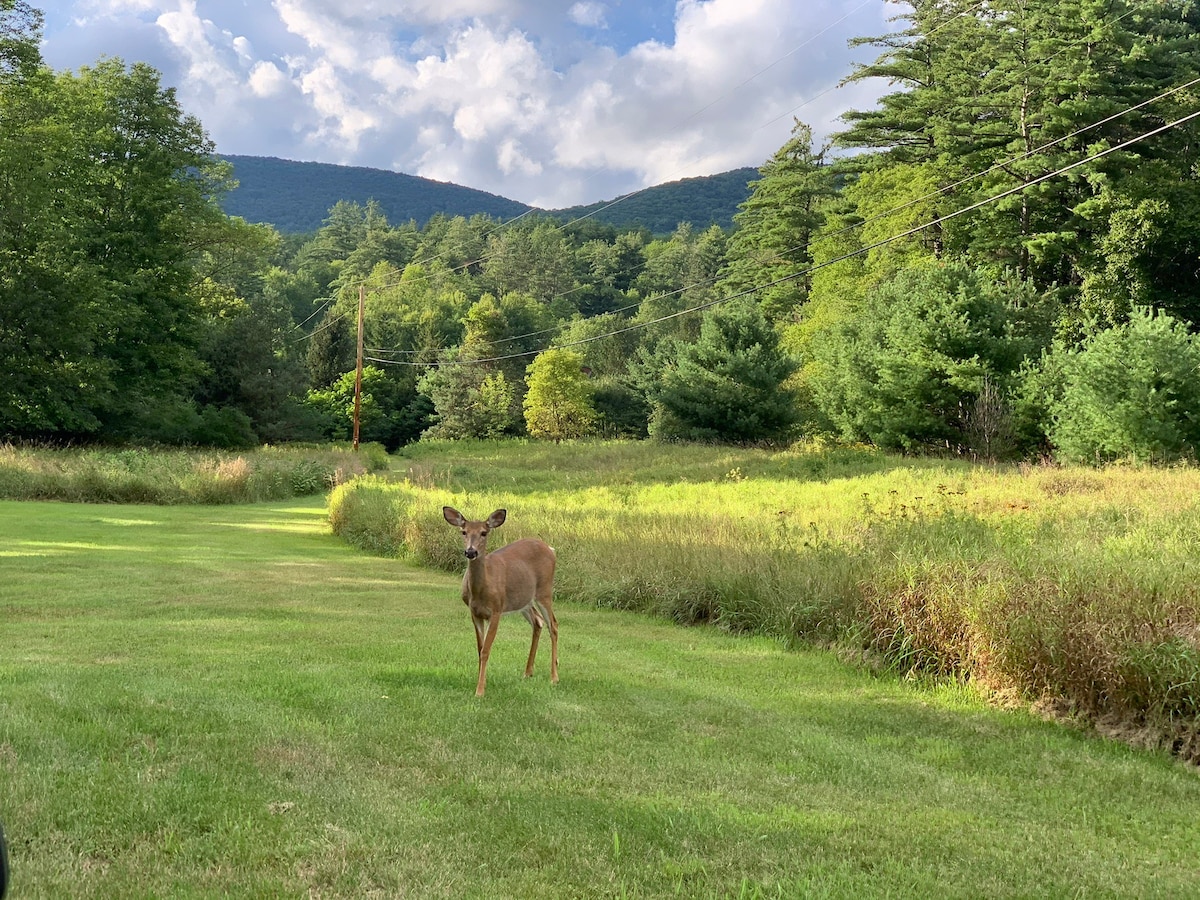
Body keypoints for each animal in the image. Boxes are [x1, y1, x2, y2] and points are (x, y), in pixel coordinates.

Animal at [441, 508, 556, 696]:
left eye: (484, 532)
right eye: (463, 532)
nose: (471, 552)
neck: (480, 591)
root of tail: (551, 549)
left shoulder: (496, 610)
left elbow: (486, 650)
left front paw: (480, 690)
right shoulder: (475, 613)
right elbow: (479, 648)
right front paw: (481, 682)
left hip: (544, 591)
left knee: (553, 625)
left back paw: (554, 677)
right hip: (523, 600)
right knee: (538, 621)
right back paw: (528, 672)